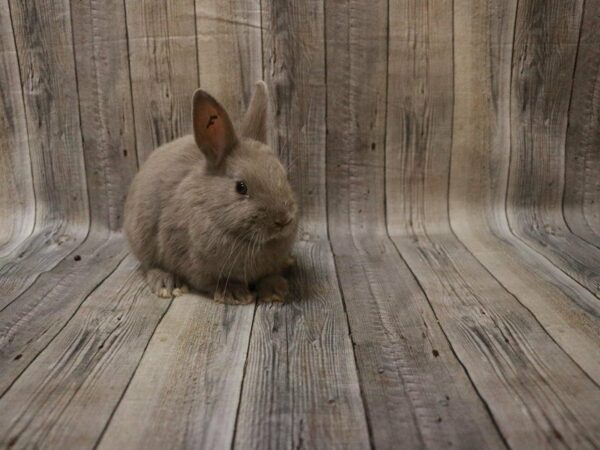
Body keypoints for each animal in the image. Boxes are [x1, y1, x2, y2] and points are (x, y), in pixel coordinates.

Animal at [123, 82, 298, 304]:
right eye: (241, 187)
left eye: (284, 175)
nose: (283, 220)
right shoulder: (193, 264)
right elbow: (212, 281)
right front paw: (235, 293)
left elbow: (269, 275)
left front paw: (276, 290)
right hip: (141, 237)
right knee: (149, 266)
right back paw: (167, 284)